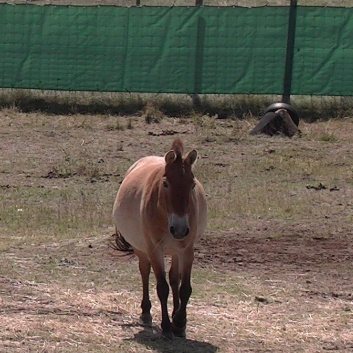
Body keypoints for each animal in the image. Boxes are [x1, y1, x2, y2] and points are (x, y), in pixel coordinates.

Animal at [112, 137, 206, 336]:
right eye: (166, 184)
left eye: (192, 184)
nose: (179, 229)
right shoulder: (155, 250)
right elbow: (162, 287)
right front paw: (166, 325)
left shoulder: (187, 250)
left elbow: (184, 288)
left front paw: (179, 322)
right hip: (141, 248)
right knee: (145, 271)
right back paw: (146, 313)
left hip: (175, 251)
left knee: (174, 278)